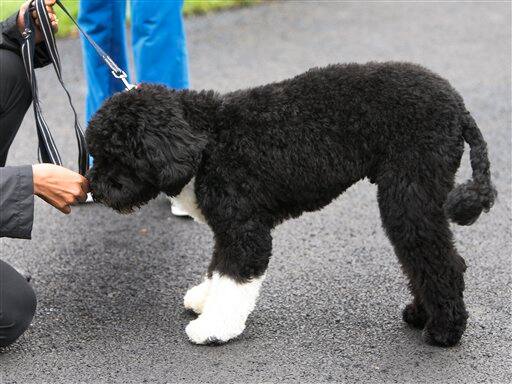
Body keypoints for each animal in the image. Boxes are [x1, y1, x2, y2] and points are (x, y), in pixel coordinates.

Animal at [87, 62, 496, 344]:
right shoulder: (227, 229)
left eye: (118, 154)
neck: (207, 140)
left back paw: (445, 331)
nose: (95, 187)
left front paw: (214, 327)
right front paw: (205, 299)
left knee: (442, 262)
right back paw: (421, 314)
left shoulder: (246, 231)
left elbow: (233, 279)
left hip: (409, 194)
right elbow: (217, 269)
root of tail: (458, 107)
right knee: (426, 260)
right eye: (95, 153)